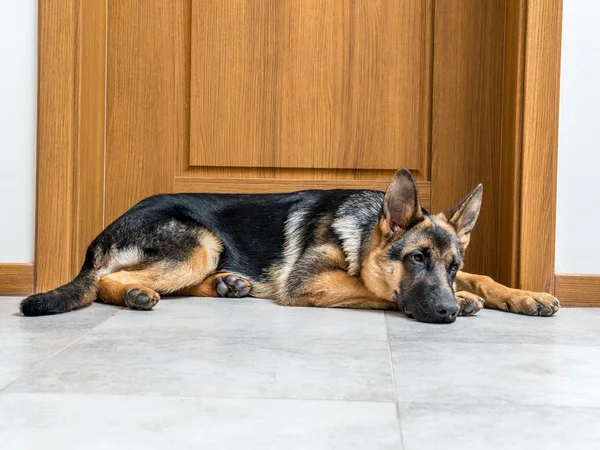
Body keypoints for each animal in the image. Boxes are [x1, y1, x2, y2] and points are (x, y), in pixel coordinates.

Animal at [19, 170, 564, 324]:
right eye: (415, 259)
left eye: (452, 265)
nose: (448, 311)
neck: (361, 233)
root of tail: (101, 233)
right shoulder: (310, 281)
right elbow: (374, 289)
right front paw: (469, 301)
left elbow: (484, 276)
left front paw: (523, 295)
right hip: (201, 241)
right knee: (108, 280)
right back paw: (136, 295)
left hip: (206, 251)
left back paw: (229, 285)